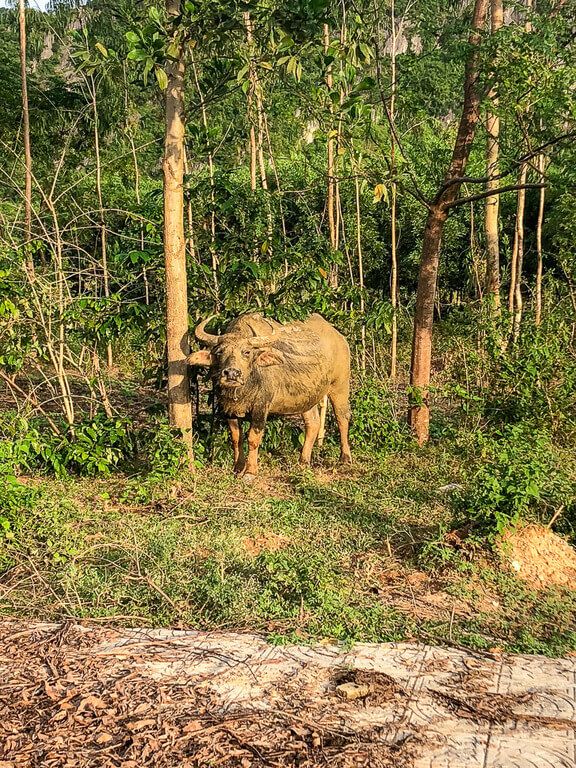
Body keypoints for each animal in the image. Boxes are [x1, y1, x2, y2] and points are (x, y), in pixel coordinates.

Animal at [189, 314, 352, 480]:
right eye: (220, 352)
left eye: (247, 352)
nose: (232, 374)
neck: (244, 389)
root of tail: (340, 338)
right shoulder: (228, 409)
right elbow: (236, 438)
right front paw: (238, 468)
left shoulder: (261, 406)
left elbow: (253, 438)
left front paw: (250, 471)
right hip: (307, 398)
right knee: (313, 423)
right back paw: (303, 461)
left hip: (340, 385)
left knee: (342, 418)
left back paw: (345, 458)